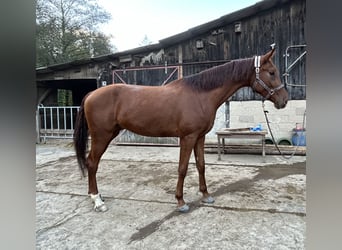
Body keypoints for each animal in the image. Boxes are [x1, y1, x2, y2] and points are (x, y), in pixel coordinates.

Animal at [73, 47, 288, 212]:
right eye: (271, 72)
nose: (284, 100)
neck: (200, 94)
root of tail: (92, 94)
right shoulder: (188, 137)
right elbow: (183, 168)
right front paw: (180, 201)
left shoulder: (200, 137)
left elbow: (201, 165)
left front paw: (206, 195)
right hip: (102, 136)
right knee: (92, 163)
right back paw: (97, 200)